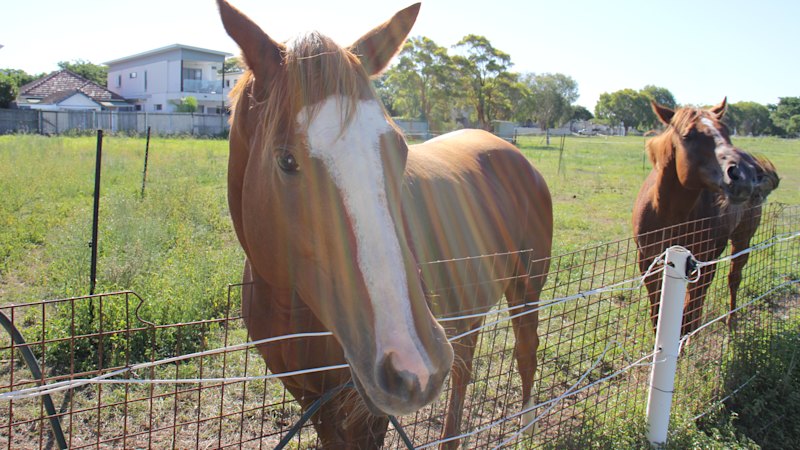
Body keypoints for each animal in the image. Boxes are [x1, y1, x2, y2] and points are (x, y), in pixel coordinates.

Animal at [217, 1, 553, 448]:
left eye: (399, 147)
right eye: (286, 160)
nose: (415, 361)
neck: (290, 305)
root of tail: (512, 153)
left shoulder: (366, 411)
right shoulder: (312, 397)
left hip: (525, 289)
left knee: (526, 350)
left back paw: (526, 424)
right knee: (465, 364)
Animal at [632, 99, 757, 336]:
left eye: (726, 131)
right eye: (688, 135)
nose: (742, 174)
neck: (671, 215)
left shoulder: (702, 261)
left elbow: (688, 313)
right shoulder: (648, 261)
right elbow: (657, 312)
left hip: (741, 240)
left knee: (733, 279)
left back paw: (730, 322)